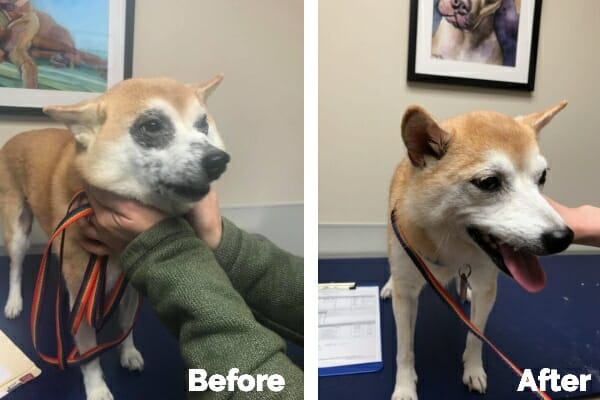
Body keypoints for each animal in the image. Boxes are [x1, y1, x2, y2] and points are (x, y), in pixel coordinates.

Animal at [0, 73, 230, 398]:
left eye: (203, 124)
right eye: (152, 126)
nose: (218, 160)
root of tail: (17, 137)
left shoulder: (131, 288)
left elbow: (126, 326)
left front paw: (128, 352)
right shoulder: (82, 295)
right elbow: (89, 355)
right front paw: (97, 388)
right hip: (17, 228)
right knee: (16, 267)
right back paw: (14, 302)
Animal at [382, 102, 576, 400]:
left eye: (542, 177)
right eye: (489, 182)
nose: (562, 238)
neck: (452, 251)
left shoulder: (487, 287)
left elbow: (476, 336)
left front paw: (473, 369)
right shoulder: (406, 297)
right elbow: (405, 351)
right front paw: (404, 387)